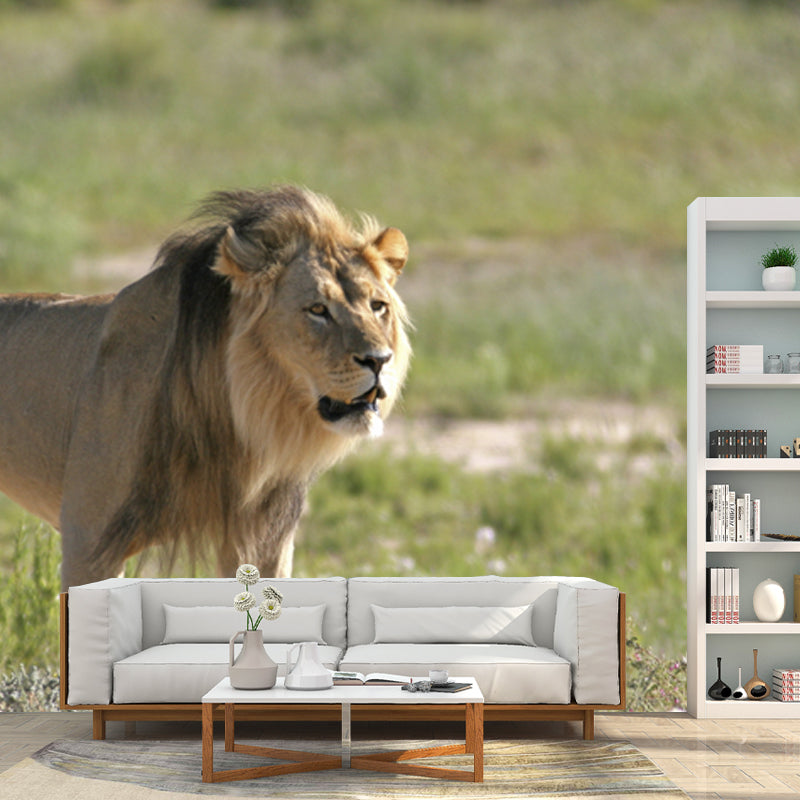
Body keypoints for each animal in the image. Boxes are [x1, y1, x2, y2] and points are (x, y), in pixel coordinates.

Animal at [0, 186, 411, 589]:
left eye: (378, 306)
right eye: (317, 310)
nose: (379, 360)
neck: (237, 422)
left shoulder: (263, 541)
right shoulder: (89, 541)